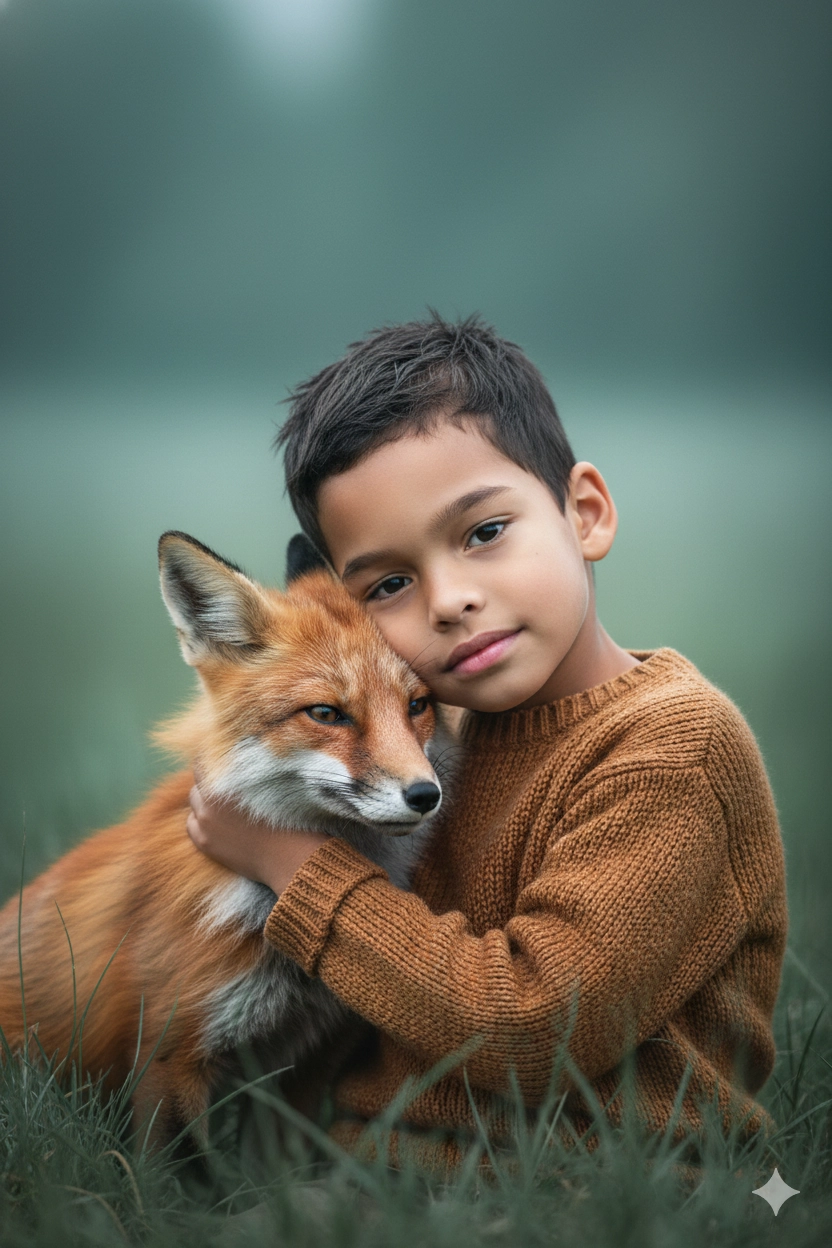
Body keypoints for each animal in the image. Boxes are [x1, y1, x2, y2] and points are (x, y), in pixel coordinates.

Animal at [0, 531, 450, 1146]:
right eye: (327, 713)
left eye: (417, 705)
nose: (425, 795)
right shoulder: (171, 1049)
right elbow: (170, 1167)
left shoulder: (305, 1059)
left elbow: (279, 1159)